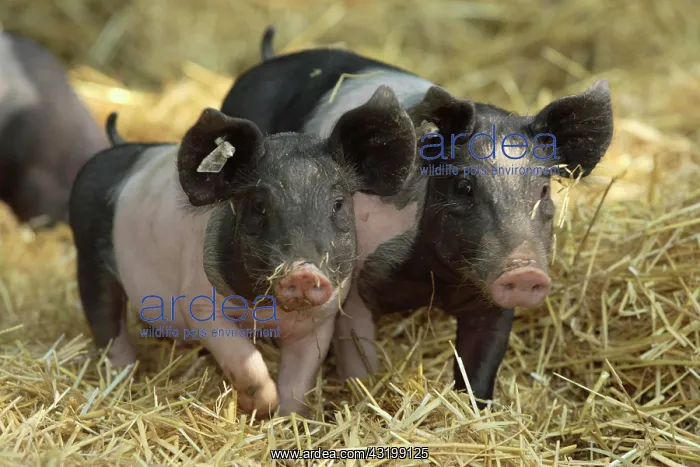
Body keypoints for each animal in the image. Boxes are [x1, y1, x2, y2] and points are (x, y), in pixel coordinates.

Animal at [68, 89, 418, 417]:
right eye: (259, 206)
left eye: (339, 204)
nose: (304, 272)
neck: (266, 314)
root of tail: (118, 146)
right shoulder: (199, 303)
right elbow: (244, 358)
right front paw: (263, 406)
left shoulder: (321, 320)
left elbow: (298, 381)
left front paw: (286, 419)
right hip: (89, 257)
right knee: (106, 322)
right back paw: (121, 376)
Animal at [219, 26, 614, 406]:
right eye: (463, 186)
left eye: (544, 190)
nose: (525, 272)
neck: (434, 277)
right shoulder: (355, 286)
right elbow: (360, 362)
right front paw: (365, 398)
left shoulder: (491, 303)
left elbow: (480, 368)